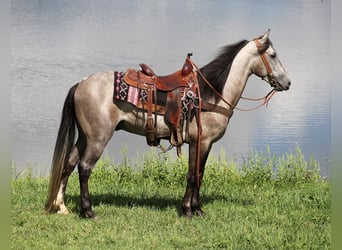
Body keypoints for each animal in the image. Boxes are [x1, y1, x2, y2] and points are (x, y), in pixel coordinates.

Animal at [45, 28, 292, 217]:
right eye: (273, 55)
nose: (287, 82)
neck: (212, 93)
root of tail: (81, 83)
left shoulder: (204, 144)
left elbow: (199, 174)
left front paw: (196, 209)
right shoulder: (200, 142)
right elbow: (193, 175)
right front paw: (189, 210)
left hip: (84, 137)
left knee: (69, 163)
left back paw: (61, 206)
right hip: (98, 138)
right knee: (84, 168)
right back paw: (88, 211)